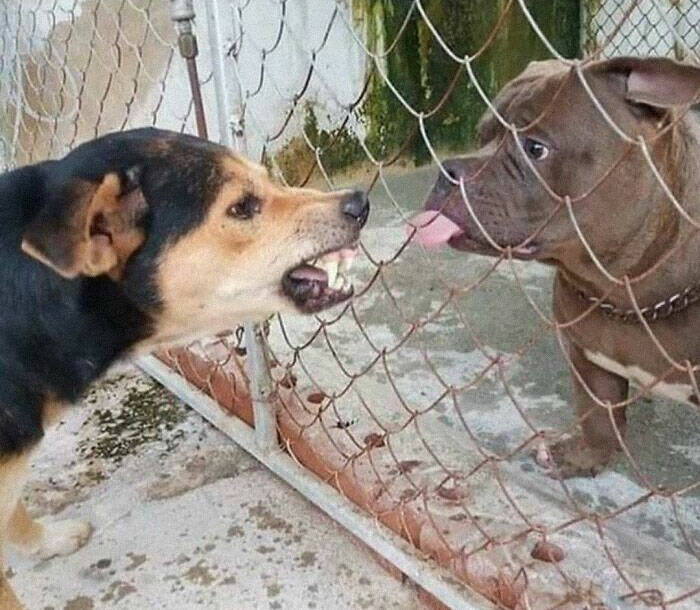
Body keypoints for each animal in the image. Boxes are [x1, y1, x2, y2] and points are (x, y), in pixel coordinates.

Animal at [411, 56, 700, 478]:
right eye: (481, 136)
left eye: (535, 148)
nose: (447, 171)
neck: (623, 292)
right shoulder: (584, 354)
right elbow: (597, 416)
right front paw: (581, 457)